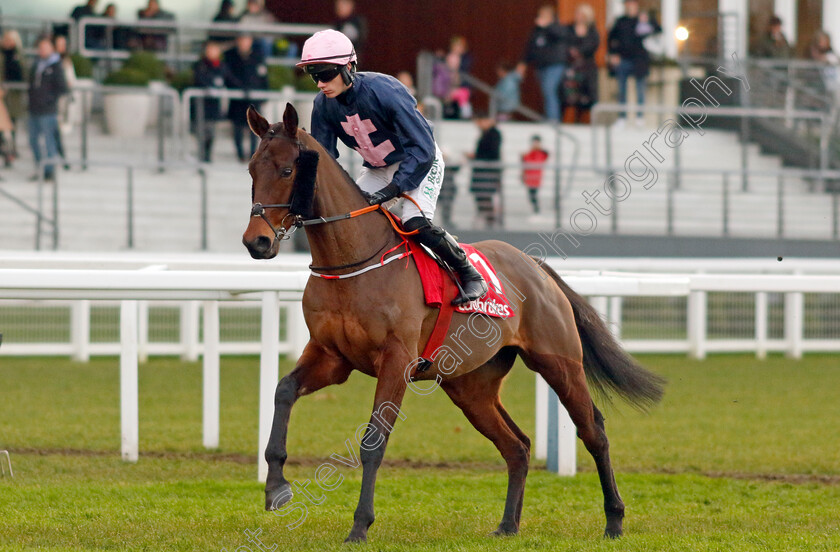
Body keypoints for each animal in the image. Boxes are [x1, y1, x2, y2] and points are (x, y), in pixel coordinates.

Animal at [241, 104, 664, 544]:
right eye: (252, 170)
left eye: (287, 170)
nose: (256, 242)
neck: (354, 261)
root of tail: (536, 266)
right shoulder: (331, 357)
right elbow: (283, 391)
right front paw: (276, 487)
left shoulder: (396, 361)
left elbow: (373, 441)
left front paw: (359, 525)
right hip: (471, 386)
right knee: (517, 445)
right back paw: (508, 525)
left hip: (559, 362)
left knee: (593, 431)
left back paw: (614, 519)